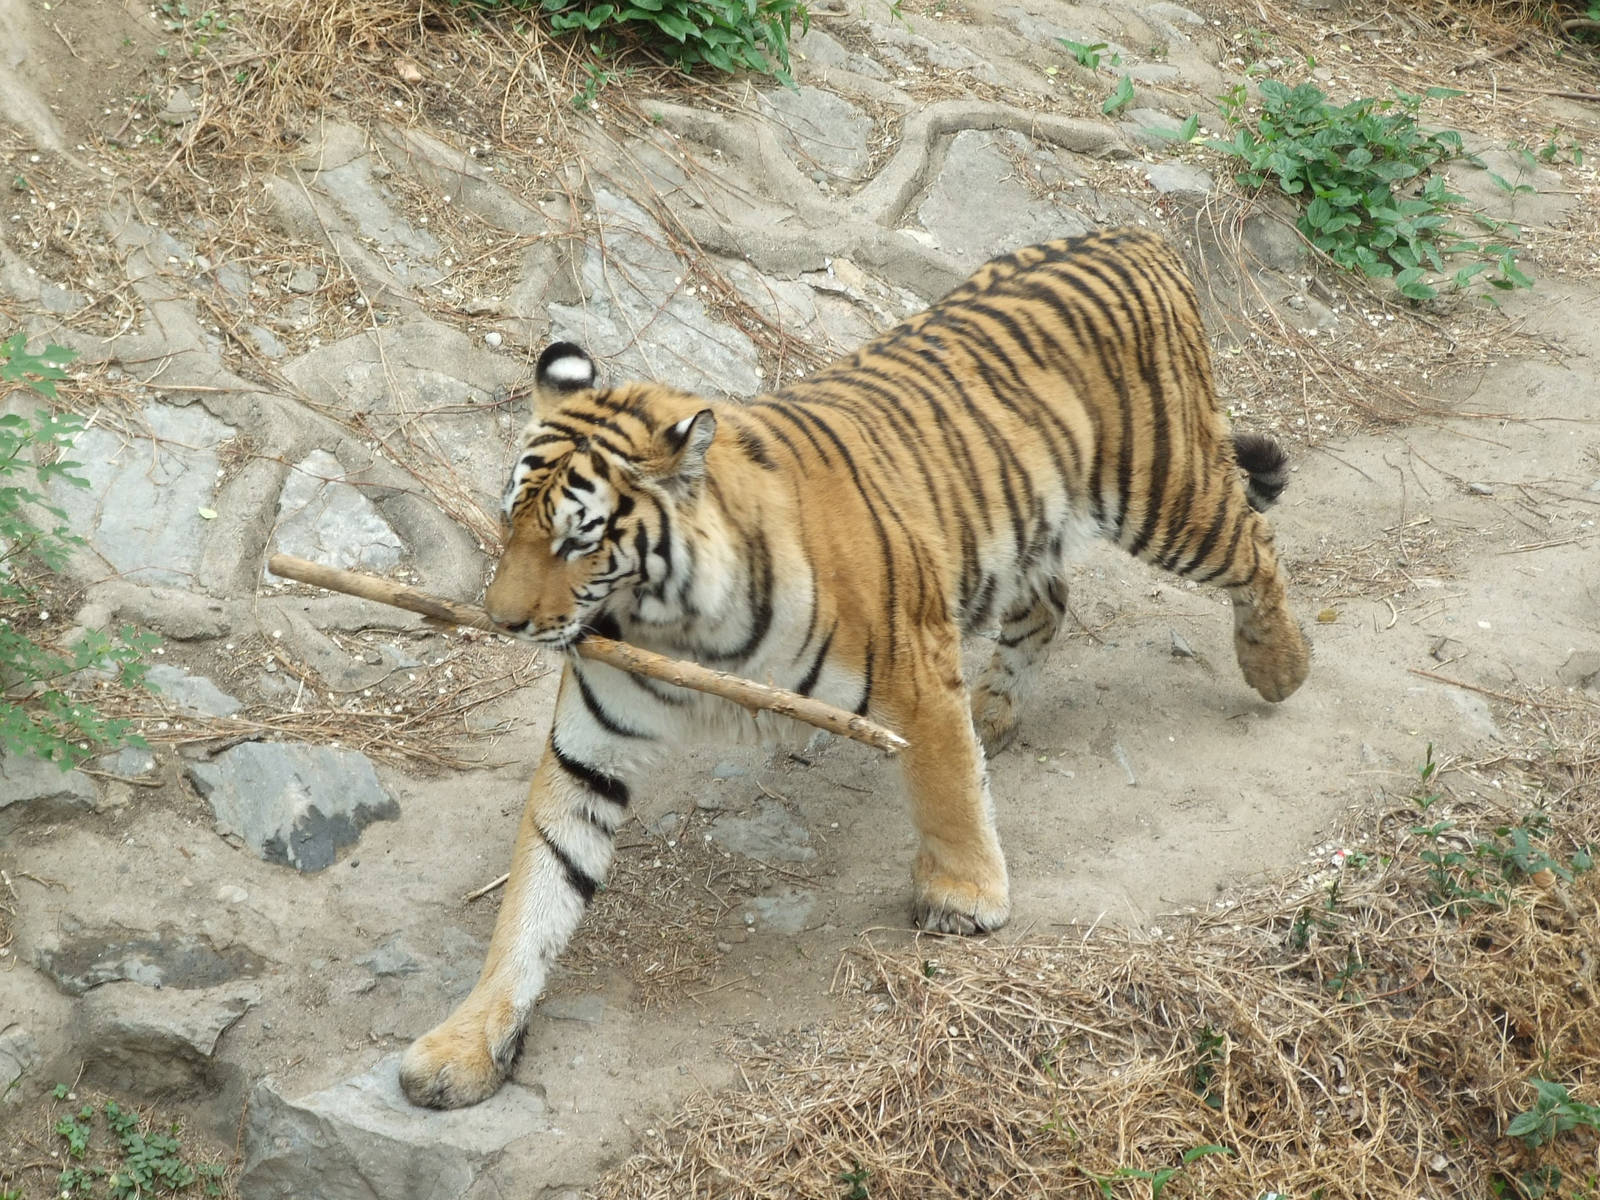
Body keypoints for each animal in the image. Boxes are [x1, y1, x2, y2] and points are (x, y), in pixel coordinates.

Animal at [399, 226, 1311, 1108]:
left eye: (578, 539)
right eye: (509, 520)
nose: (501, 620)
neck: (679, 619)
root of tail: (1137, 236)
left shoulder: (916, 666)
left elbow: (945, 790)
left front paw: (964, 899)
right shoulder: (591, 747)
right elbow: (537, 889)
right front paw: (464, 1045)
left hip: (1164, 496)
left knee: (1254, 546)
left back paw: (1281, 667)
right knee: (1048, 602)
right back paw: (996, 714)